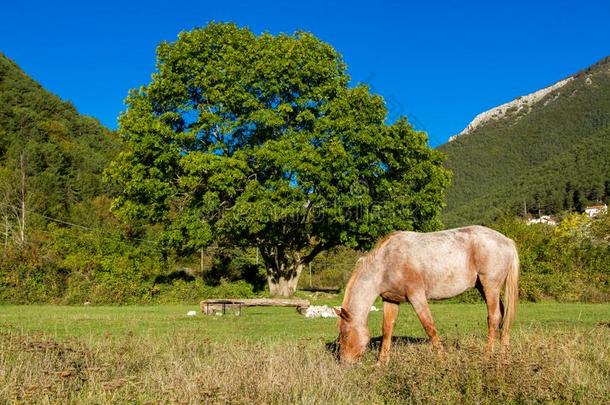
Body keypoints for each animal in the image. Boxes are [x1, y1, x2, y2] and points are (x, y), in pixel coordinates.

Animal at [332, 224, 516, 362]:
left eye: (344, 334)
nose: (345, 363)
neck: (386, 263)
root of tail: (507, 240)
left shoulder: (417, 296)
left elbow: (429, 326)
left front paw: (442, 360)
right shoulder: (391, 300)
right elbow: (387, 330)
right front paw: (381, 363)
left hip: (490, 287)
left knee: (494, 318)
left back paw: (488, 356)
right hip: (483, 288)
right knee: (503, 315)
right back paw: (504, 354)